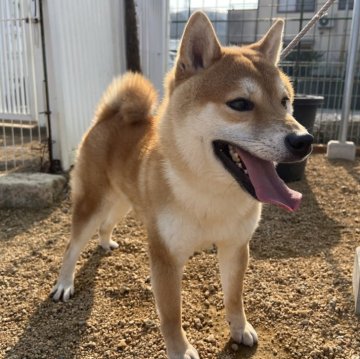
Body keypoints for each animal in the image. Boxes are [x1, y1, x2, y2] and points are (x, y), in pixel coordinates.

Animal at [50, 11, 312, 359]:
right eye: (240, 104)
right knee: (72, 246)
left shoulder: (235, 246)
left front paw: (239, 329)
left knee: (106, 224)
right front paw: (180, 349)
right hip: (92, 203)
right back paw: (64, 284)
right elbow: (171, 314)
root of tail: (108, 117)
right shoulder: (165, 256)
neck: (210, 192)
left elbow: (234, 297)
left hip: (122, 202)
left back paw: (106, 243)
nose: (304, 140)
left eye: (285, 101)